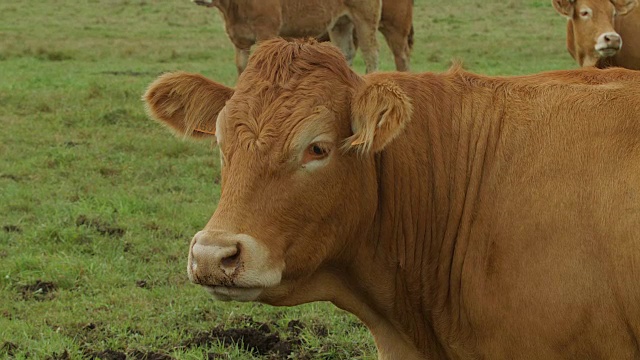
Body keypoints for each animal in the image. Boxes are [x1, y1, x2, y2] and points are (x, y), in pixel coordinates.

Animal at [194, 0, 380, 74]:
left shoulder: (266, 31)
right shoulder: (239, 40)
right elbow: (242, 68)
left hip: (365, 19)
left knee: (371, 54)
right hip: (340, 24)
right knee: (345, 53)